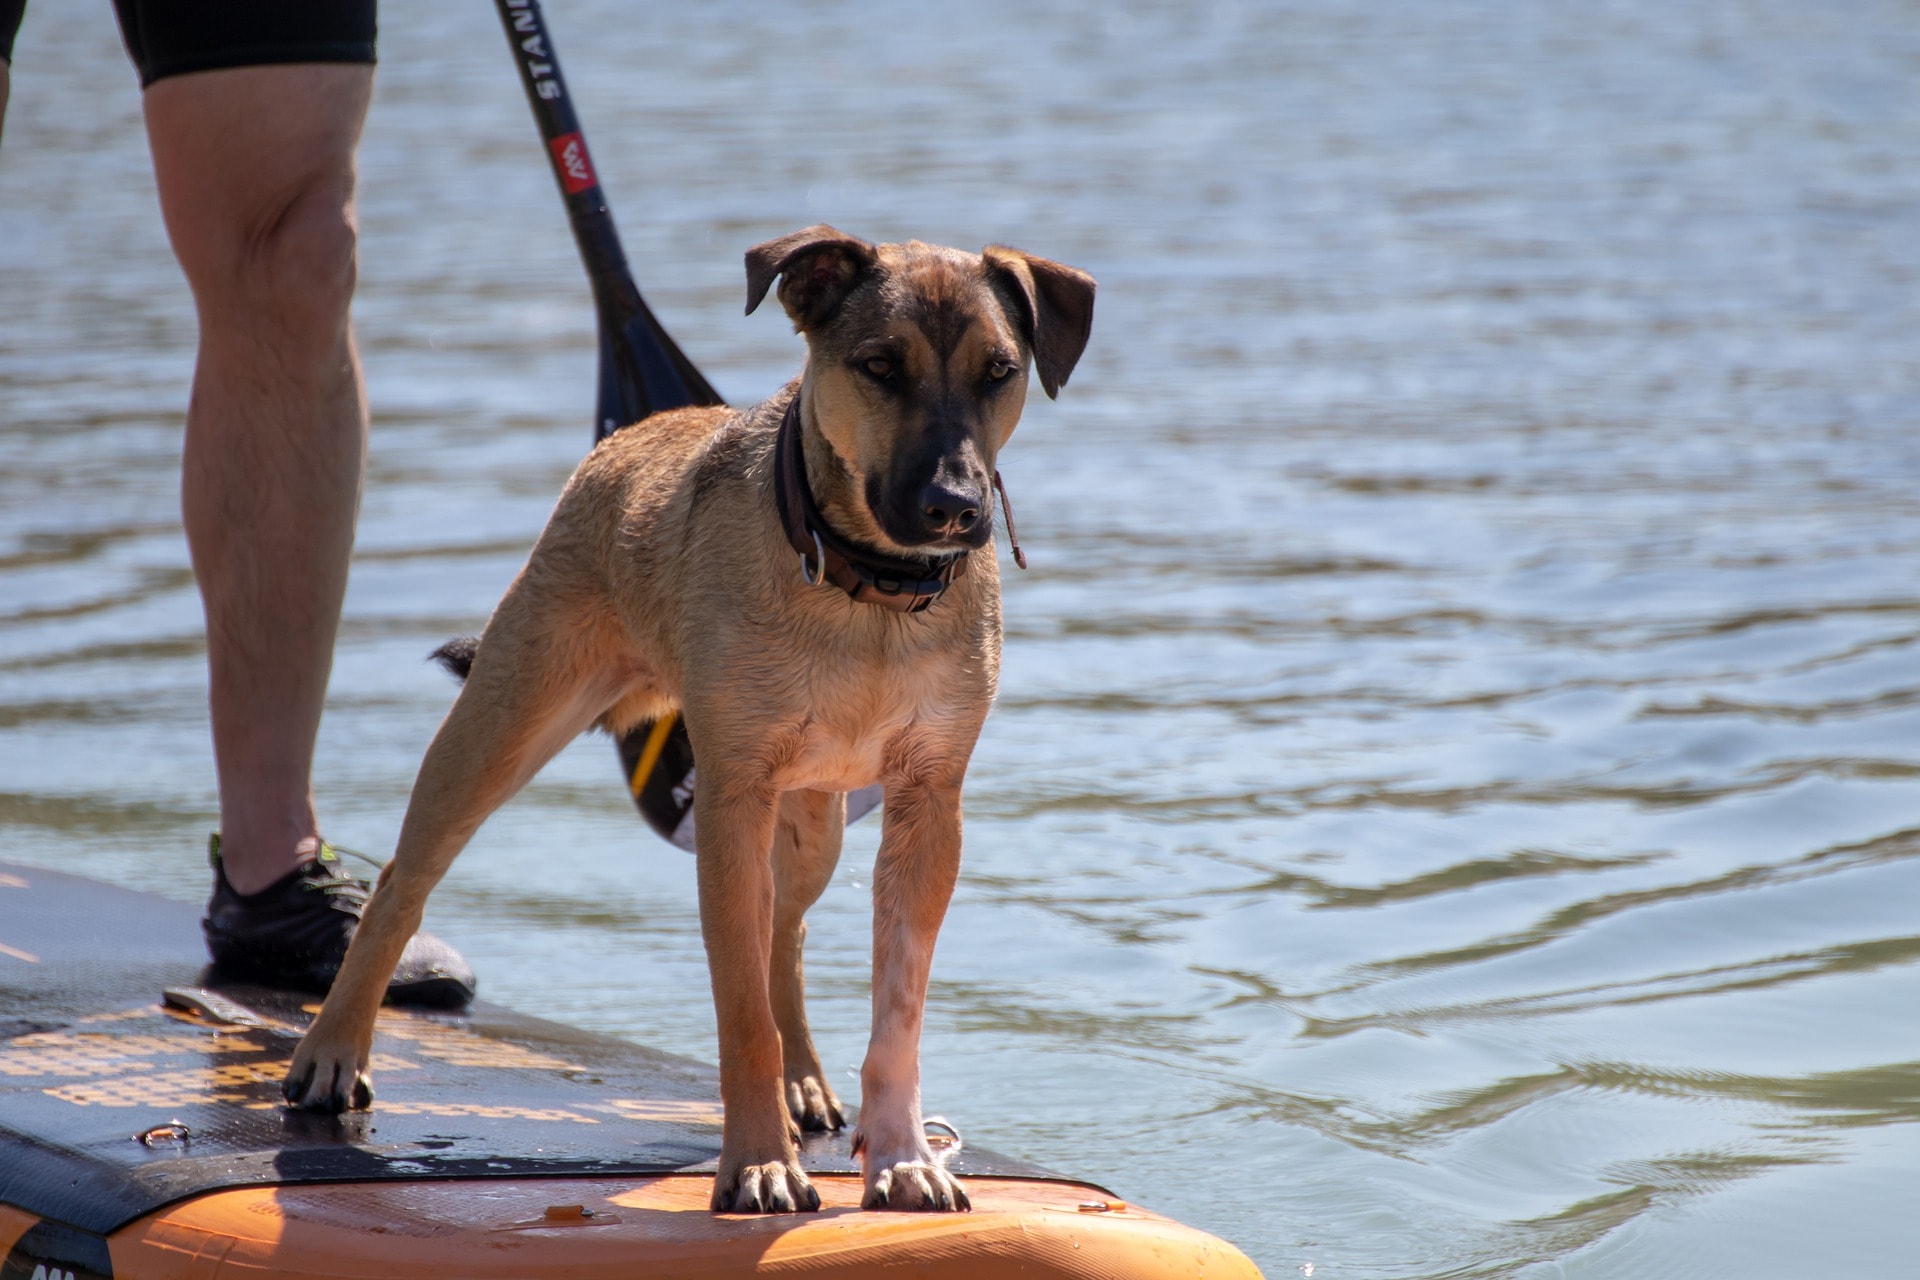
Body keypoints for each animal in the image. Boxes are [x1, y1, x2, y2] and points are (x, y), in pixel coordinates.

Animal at [280, 225, 1098, 1220]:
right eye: (878, 365)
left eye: (1000, 371)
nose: (955, 507)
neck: (866, 592)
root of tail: (629, 435)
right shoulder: (731, 800)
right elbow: (742, 1014)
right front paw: (759, 1165)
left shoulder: (927, 803)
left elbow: (895, 1014)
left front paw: (902, 1157)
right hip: (507, 720)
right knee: (404, 881)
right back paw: (332, 1050)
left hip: (816, 818)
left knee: (786, 933)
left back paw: (805, 1079)